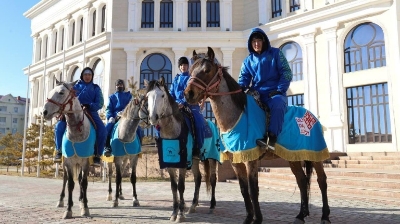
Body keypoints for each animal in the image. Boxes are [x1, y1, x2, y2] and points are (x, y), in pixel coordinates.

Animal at [42, 80, 92, 219]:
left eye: (61, 92)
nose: (44, 112)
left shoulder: (85, 162)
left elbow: (84, 183)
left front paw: (85, 207)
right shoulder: (69, 162)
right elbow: (70, 184)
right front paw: (68, 209)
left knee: (80, 180)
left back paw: (81, 200)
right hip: (64, 162)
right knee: (65, 179)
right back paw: (61, 201)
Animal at [139, 77, 220, 222]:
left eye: (162, 95)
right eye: (148, 96)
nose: (153, 117)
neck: (172, 131)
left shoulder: (182, 163)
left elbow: (181, 186)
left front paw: (181, 215)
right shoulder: (170, 163)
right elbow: (173, 187)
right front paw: (174, 213)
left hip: (212, 157)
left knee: (212, 179)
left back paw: (211, 206)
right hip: (194, 159)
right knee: (198, 178)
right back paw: (193, 206)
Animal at [184, 47, 332, 224]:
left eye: (206, 70)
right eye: (191, 71)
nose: (188, 94)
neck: (237, 116)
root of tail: (312, 116)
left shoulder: (251, 159)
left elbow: (253, 190)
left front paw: (257, 219)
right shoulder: (236, 160)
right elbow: (243, 189)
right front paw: (249, 218)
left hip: (315, 155)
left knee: (322, 181)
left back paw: (325, 216)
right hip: (294, 157)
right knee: (302, 180)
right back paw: (301, 215)